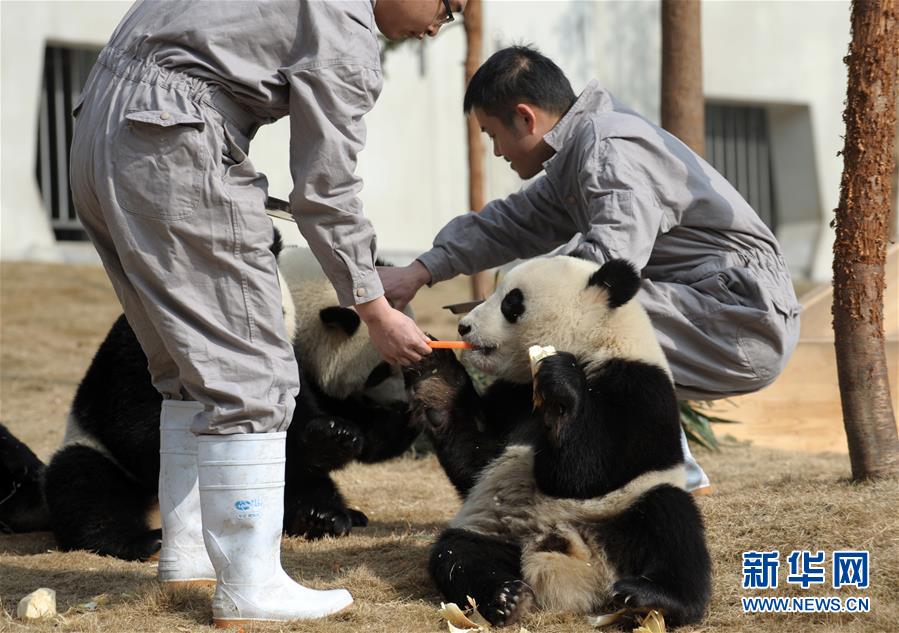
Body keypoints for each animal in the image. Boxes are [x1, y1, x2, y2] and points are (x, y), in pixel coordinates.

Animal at [37, 231, 414, 556]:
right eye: (380, 371)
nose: (402, 400)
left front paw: (340, 435)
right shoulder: (147, 344)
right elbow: (135, 418)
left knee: (299, 484)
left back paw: (322, 516)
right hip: (95, 451)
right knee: (88, 487)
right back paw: (141, 540)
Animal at [406, 256, 712, 628]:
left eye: (512, 302)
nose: (464, 328)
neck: (596, 342)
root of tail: (578, 564)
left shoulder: (640, 386)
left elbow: (584, 474)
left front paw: (560, 384)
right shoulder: (512, 395)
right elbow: (478, 464)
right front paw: (435, 373)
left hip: (619, 516)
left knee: (670, 519)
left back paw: (656, 598)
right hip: (499, 531)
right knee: (458, 554)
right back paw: (507, 599)